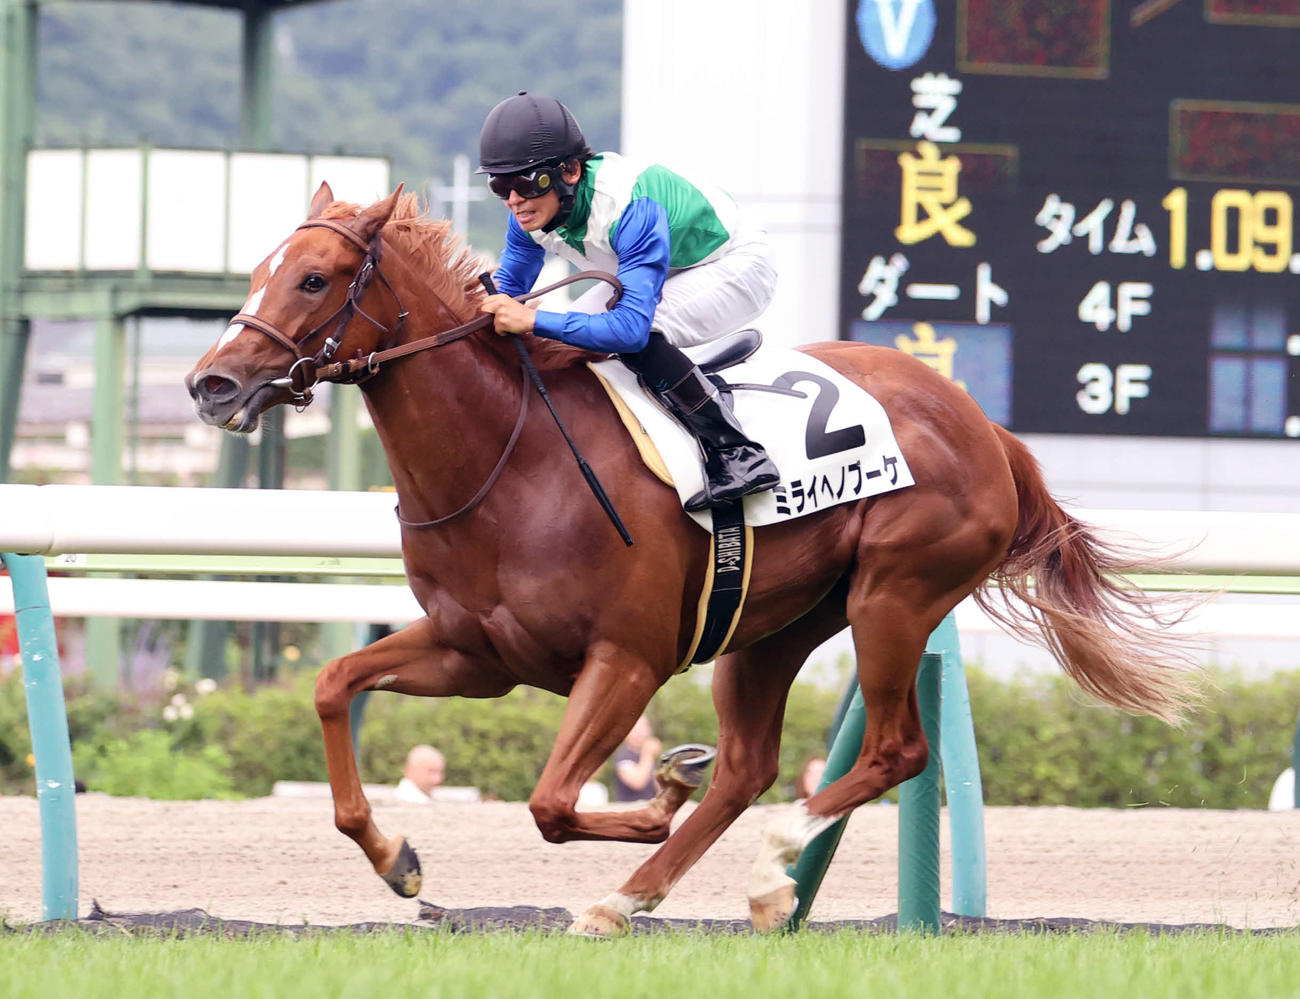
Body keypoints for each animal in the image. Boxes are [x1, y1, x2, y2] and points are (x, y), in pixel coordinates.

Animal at [186, 183, 1200, 935]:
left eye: (313, 278)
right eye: (260, 270)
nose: (210, 383)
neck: (509, 458)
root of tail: (987, 427)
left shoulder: (626, 657)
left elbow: (551, 801)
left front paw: (662, 788)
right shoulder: (475, 653)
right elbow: (333, 686)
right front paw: (398, 860)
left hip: (895, 596)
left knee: (894, 749)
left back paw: (760, 870)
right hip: (774, 625)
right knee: (751, 765)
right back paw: (646, 892)